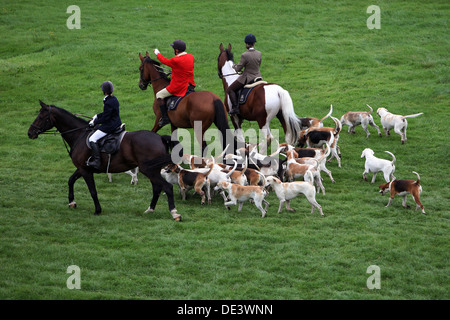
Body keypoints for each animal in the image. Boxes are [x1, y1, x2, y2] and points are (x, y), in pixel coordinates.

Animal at [28, 101, 181, 221]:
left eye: (41, 117)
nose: (30, 133)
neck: (79, 134)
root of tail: (160, 137)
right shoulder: (82, 168)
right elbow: (70, 180)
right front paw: (72, 202)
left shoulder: (85, 170)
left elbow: (92, 190)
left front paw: (97, 210)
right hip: (152, 171)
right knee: (157, 188)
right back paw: (150, 210)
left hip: (148, 170)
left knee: (167, 187)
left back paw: (174, 214)